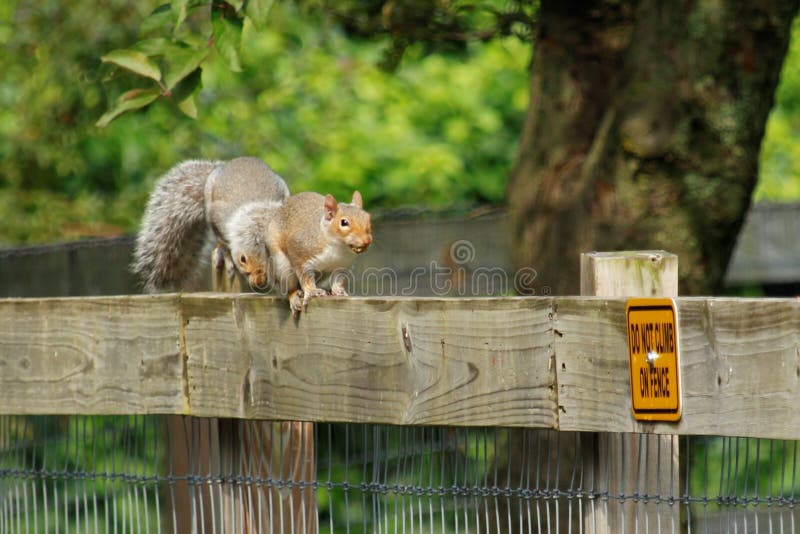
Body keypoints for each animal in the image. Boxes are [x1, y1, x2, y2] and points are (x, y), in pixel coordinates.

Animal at [131, 157, 290, 292]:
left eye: (271, 260)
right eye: (242, 259)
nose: (259, 281)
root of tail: (223, 165)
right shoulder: (218, 216)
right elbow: (224, 241)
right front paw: (227, 255)